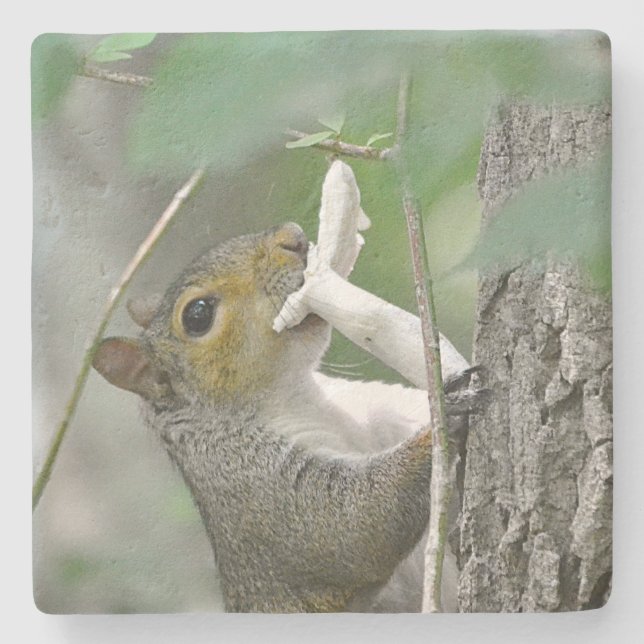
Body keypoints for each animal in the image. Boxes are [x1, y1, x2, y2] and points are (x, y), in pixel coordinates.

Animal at [93, 221, 468, 612]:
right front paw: (443, 419)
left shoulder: (376, 410)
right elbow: (350, 523)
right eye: (197, 315)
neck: (294, 394)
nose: (293, 237)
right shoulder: (250, 483)